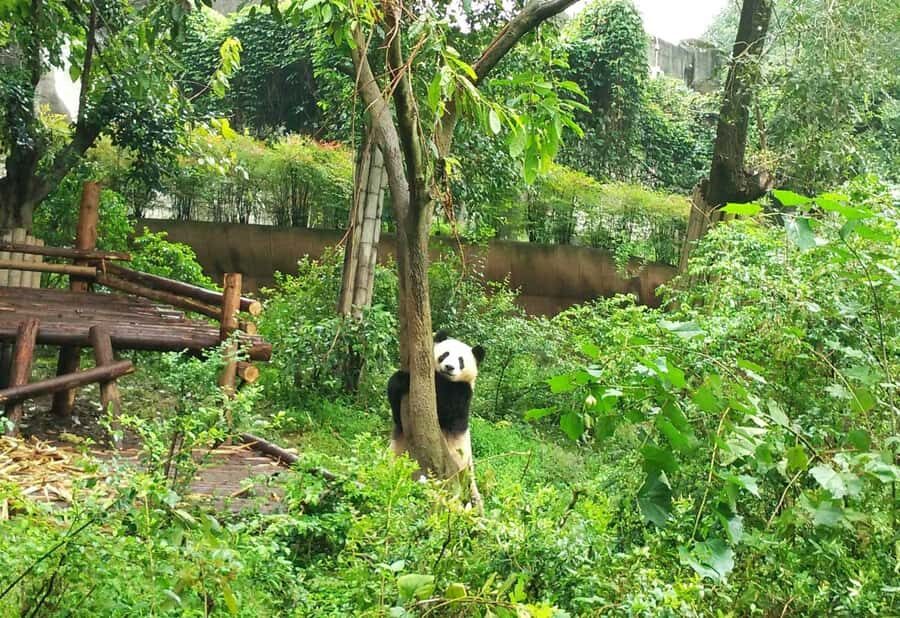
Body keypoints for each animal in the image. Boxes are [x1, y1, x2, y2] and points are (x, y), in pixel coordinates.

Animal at [387, 330, 485, 473]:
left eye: (460, 360)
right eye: (445, 354)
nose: (449, 367)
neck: (446, 379)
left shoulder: (462, 392)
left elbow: (445, 409)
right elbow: (397, 415)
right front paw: (400, 380)